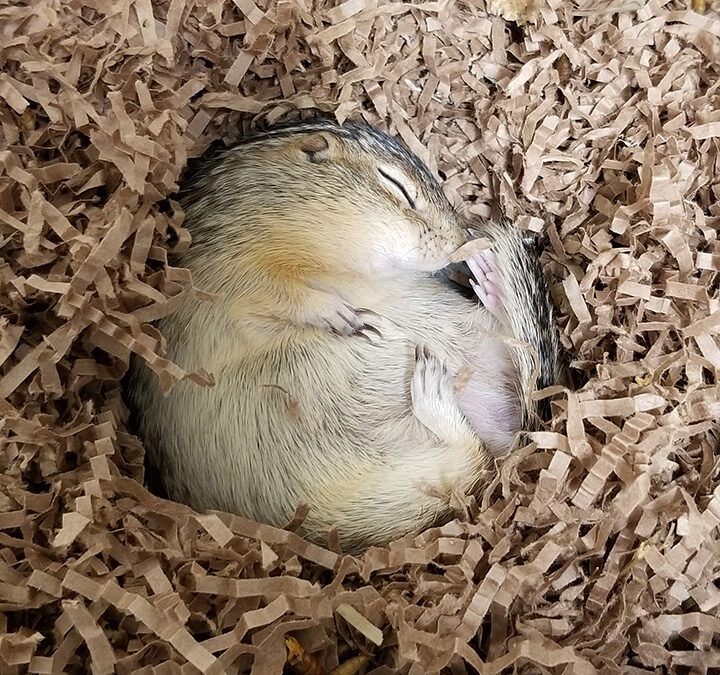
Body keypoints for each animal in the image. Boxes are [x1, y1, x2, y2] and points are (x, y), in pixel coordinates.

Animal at [125, 118, 563, 553]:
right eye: (396, 185)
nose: (460, 243)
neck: (330, 264)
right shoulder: (227, 274)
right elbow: (278, 293)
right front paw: (342, 316)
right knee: (472, 458)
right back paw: (433, 379)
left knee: (481, 443)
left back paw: (484, 286)